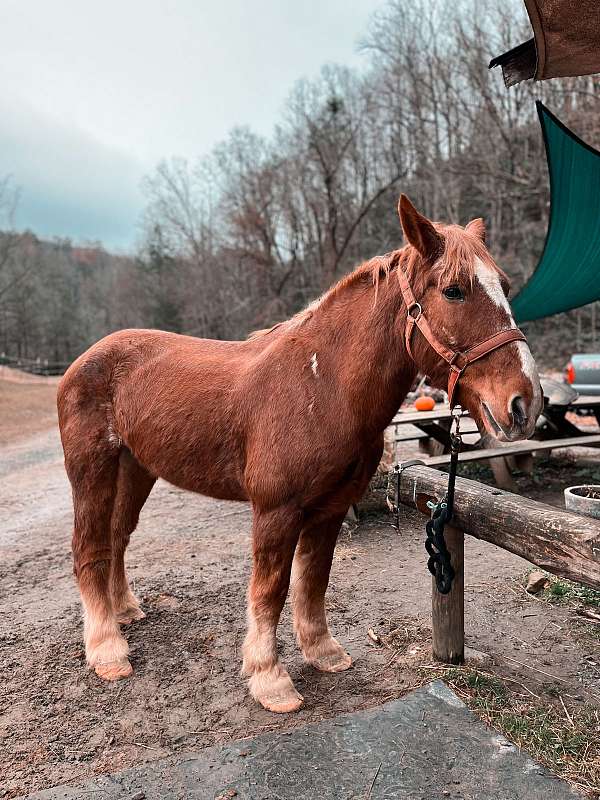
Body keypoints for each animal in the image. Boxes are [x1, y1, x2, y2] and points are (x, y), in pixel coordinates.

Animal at [58, 197, 540, 716]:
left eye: (505, 286)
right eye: (454, 291)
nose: (525, 403)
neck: (321, 385)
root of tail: (86, 359)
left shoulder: (329, 509)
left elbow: (313, 581)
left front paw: (322, 652)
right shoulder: (276, 512)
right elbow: (270, 591)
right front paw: (270, 679)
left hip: (135, 469)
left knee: (117, 538)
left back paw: (125, 611)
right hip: (91, 471)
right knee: (89, 547)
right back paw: (107, 649)